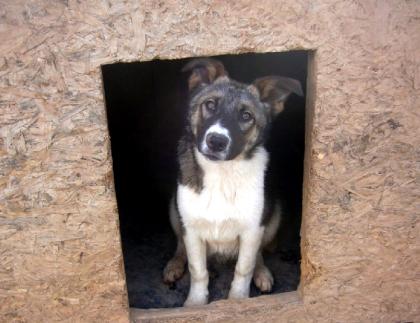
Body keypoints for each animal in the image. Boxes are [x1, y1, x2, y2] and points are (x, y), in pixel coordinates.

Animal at [162, 57, 304, 306]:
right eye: (210, 104)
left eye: (246, 116)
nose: (216, 141)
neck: (222, 174)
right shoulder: (192, 229)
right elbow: (198, 270)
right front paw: (195, 303)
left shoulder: (252, 229)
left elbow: (244, 268)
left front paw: (238, 301)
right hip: (174, 209)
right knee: (180, 246)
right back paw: (174, 265)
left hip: (274, 213)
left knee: (258, 255)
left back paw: (262, 272)